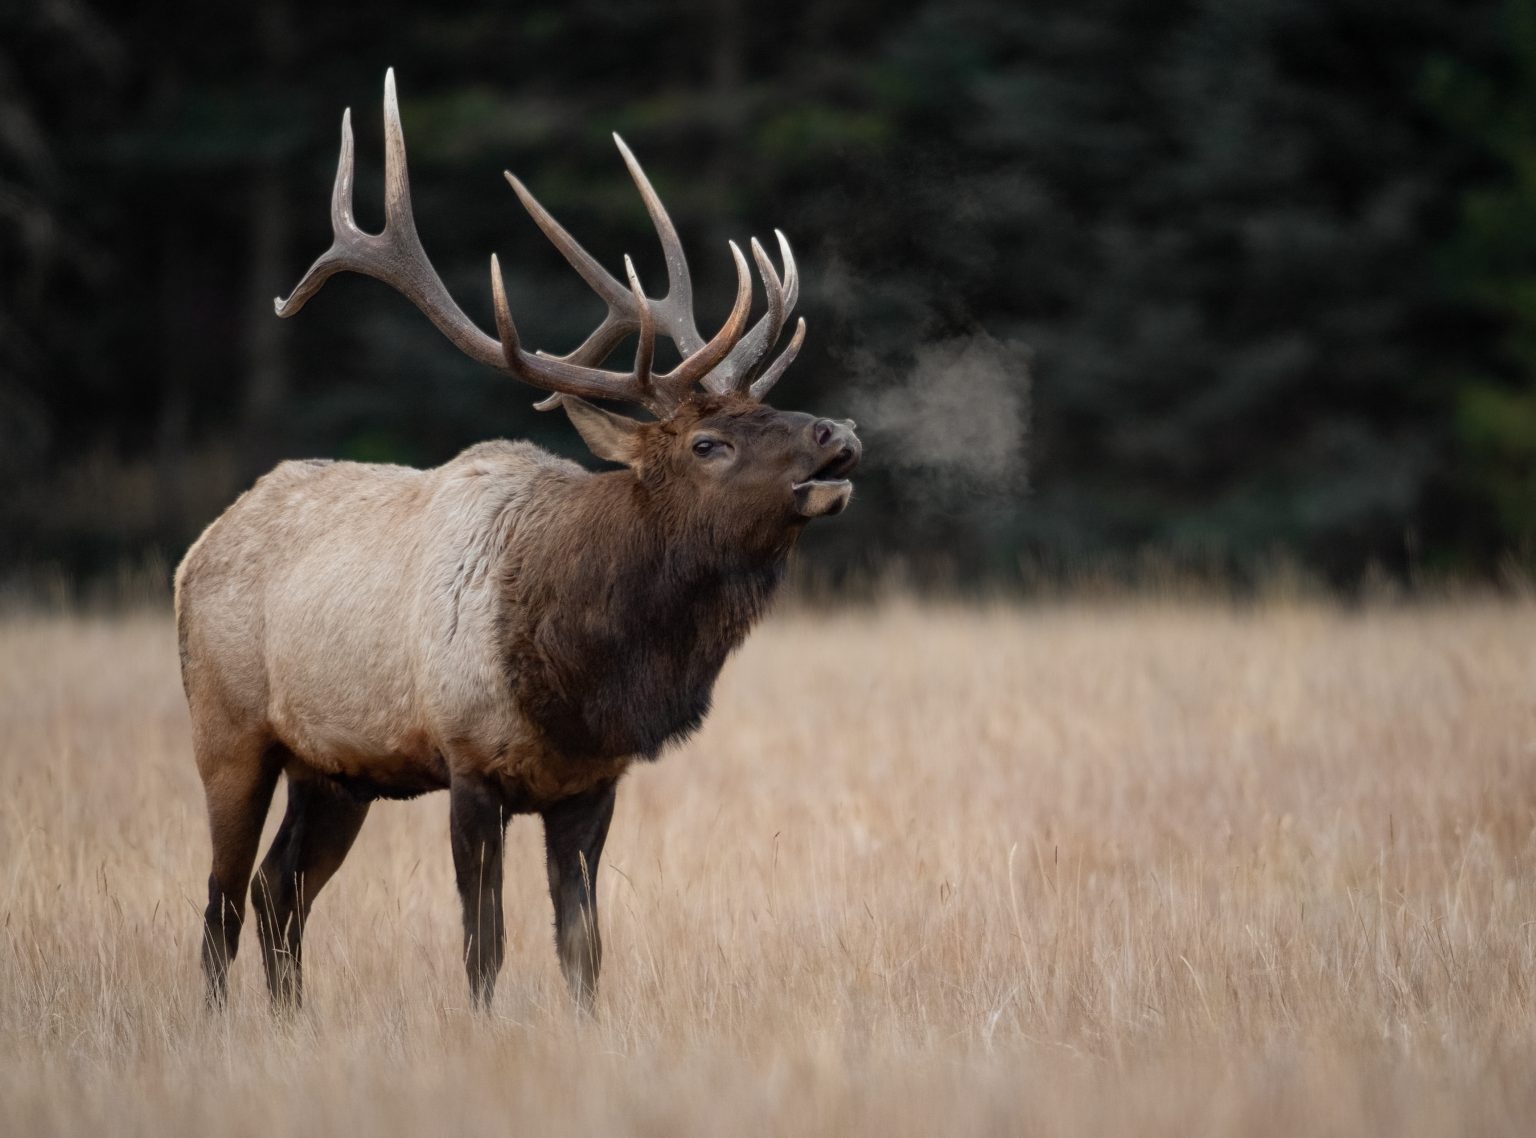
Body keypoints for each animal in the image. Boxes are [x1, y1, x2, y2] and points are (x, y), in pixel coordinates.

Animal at [174, 71, 861, 1012]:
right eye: (707, 443)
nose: (839, 433)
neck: (583, 672)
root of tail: (198, 548)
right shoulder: (469, 762)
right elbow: (485, 943)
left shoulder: (592, 784)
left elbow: (583, 946)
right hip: (230, 729)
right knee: (222, 900)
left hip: (337, 767)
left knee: (280, 889)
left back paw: (289, 1022)